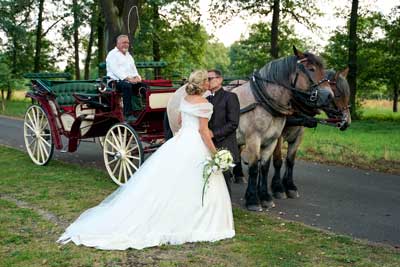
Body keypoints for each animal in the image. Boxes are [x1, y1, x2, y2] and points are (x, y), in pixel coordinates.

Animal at [231, 47, 332, 213]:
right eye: (311, 69)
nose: (330, 96)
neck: (263, 101)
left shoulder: (271, 140)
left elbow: (264, 167)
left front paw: (265, 197)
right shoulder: (253, 139)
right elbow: (254, 168)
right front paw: (253, 200)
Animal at [270, 68, 352, 200]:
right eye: (338, 95)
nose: (347, 122)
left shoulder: (298, 137)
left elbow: (290, 161)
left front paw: (289, 185)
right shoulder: (278, 137)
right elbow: (278, 161)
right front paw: (277, 187)